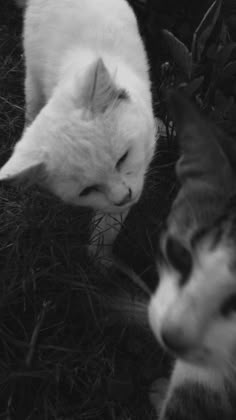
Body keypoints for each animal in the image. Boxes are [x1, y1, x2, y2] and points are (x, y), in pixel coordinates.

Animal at [5, 0, 156, 256]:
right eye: (86, 191)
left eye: (123, 158)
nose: (124, 197)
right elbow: (108, 226)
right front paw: (99, 260)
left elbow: (109, 226)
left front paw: (101, 260)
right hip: (32, 69)